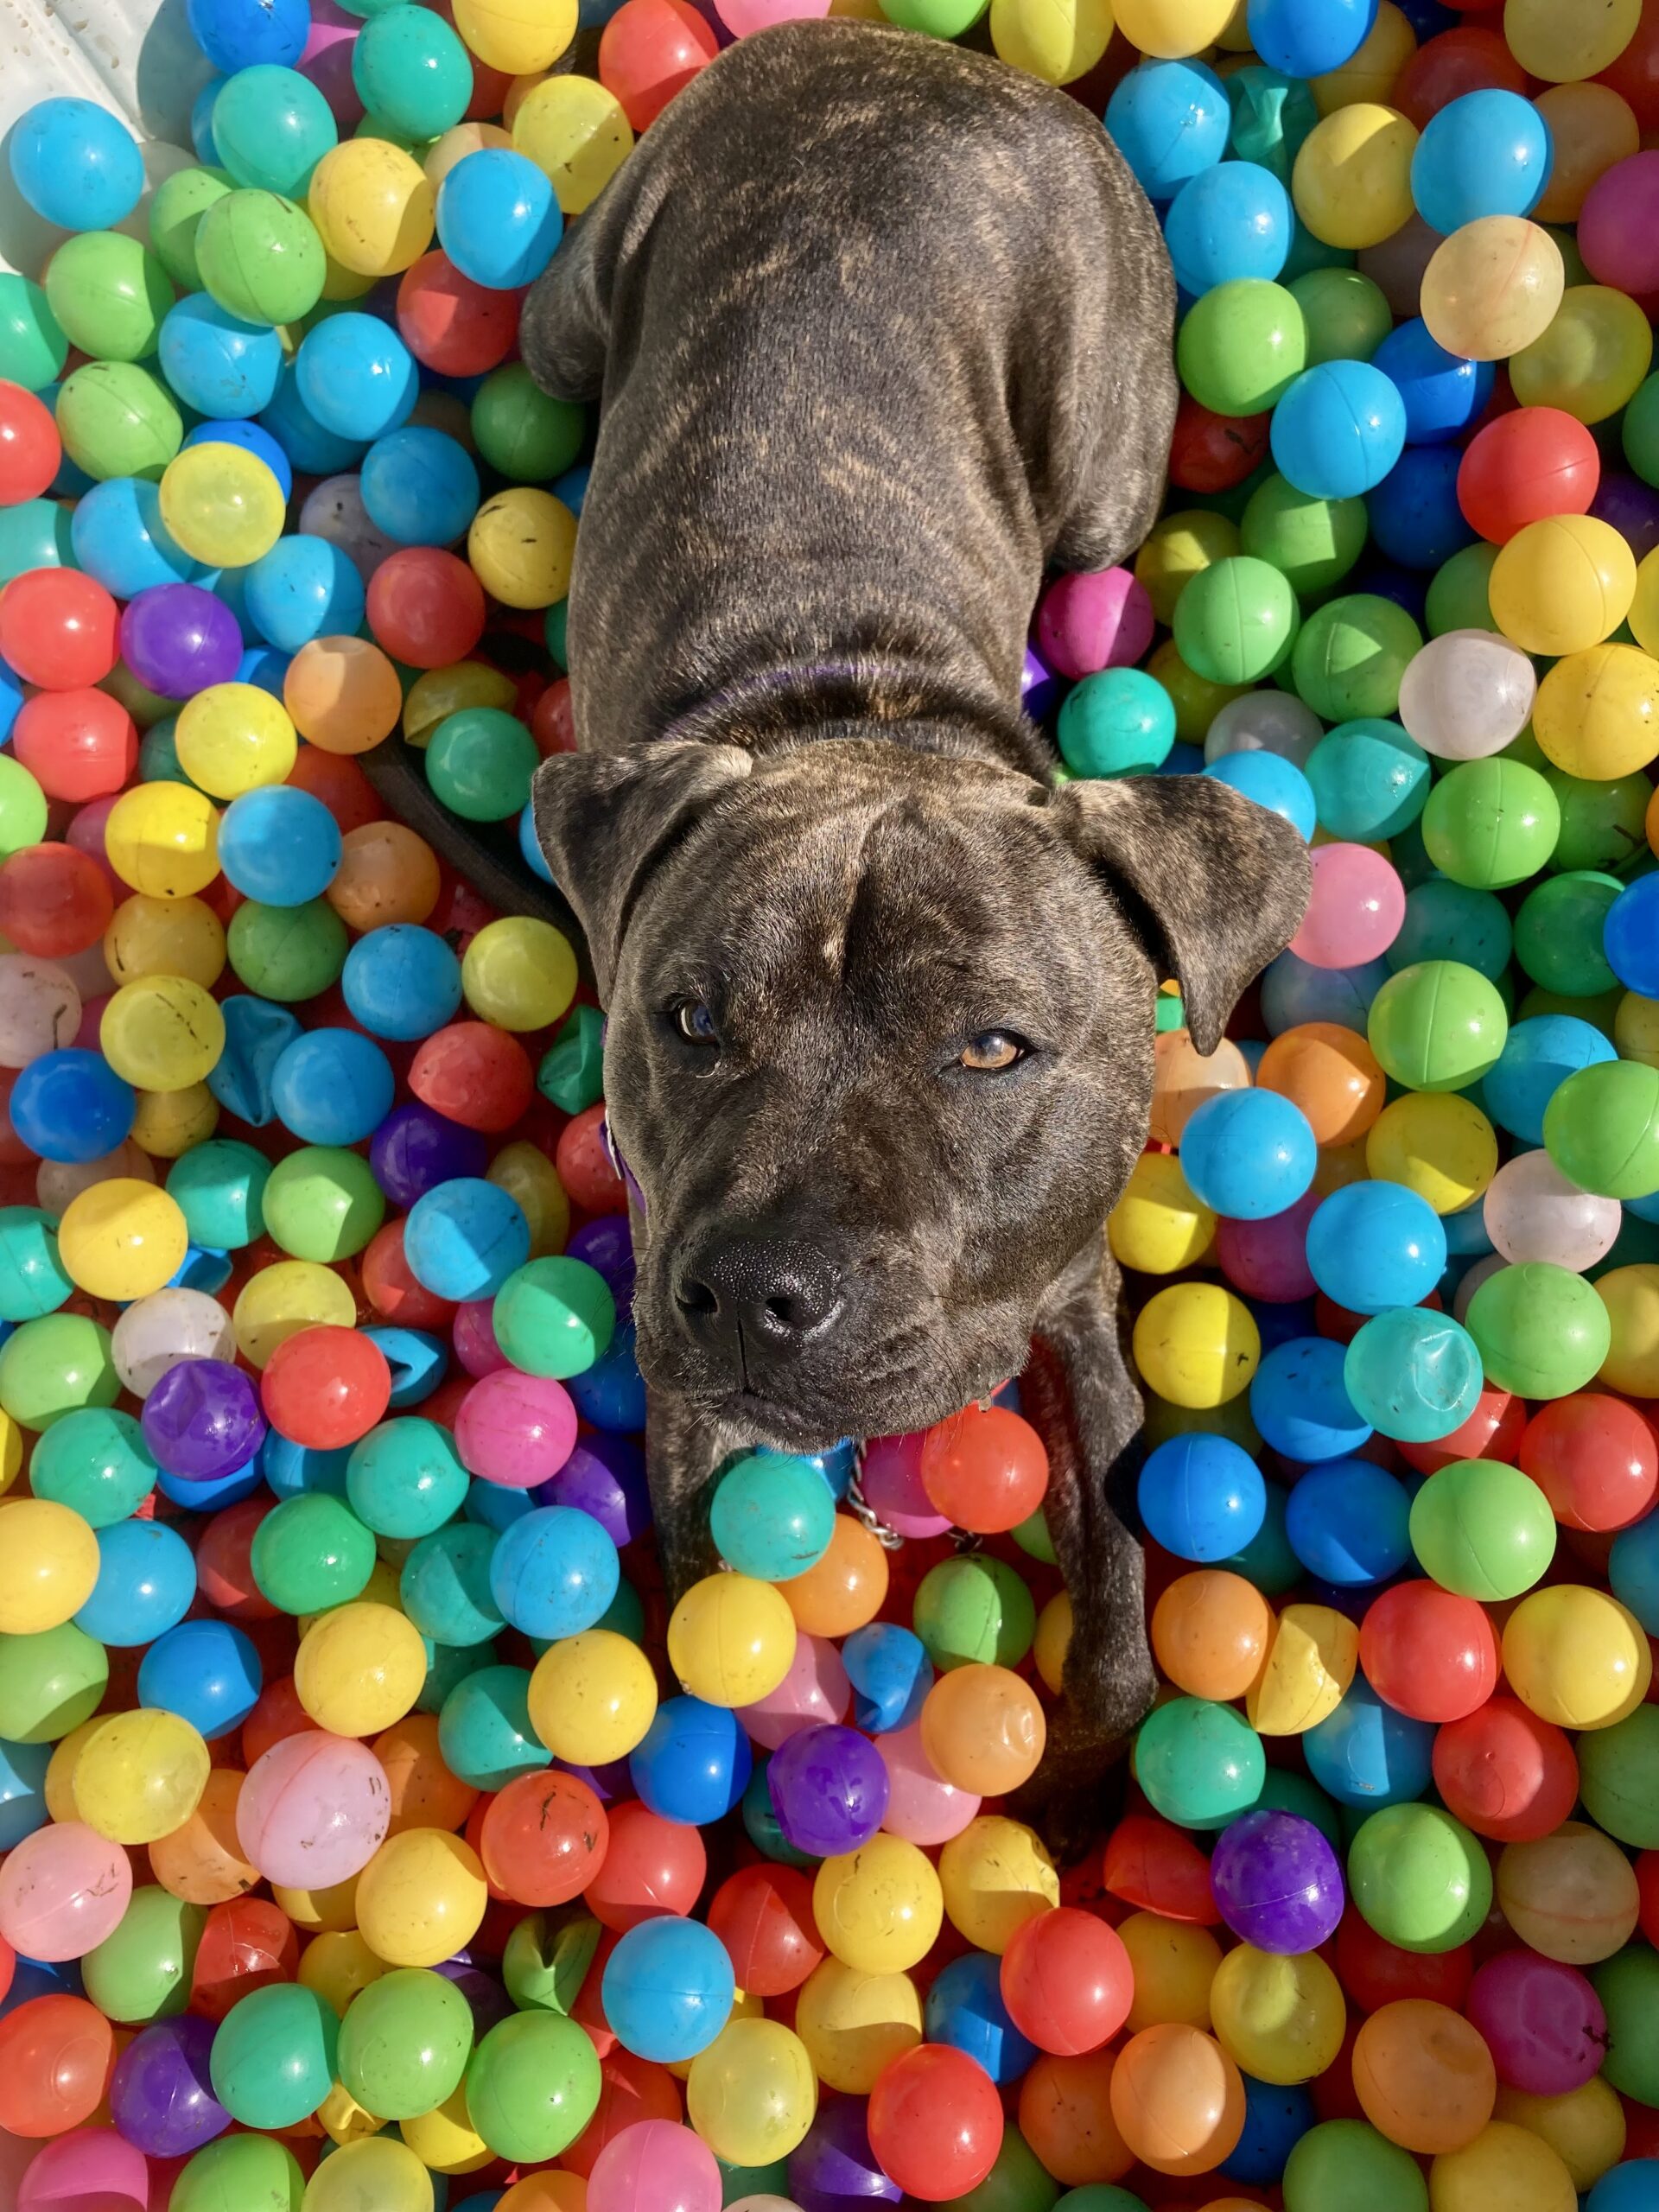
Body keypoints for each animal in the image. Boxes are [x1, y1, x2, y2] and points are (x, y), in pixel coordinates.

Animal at [387, 19, 1310, 1846]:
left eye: (994, 1047)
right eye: (683, 1020)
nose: (754, 1291)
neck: (864, 716)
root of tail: (908, 58)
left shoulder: (1078, 1308)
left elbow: (1118, 1567)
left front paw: (1090, 1790)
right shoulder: (677, 1380)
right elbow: (691, 1607)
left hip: (1105, 471)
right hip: (580, 305)